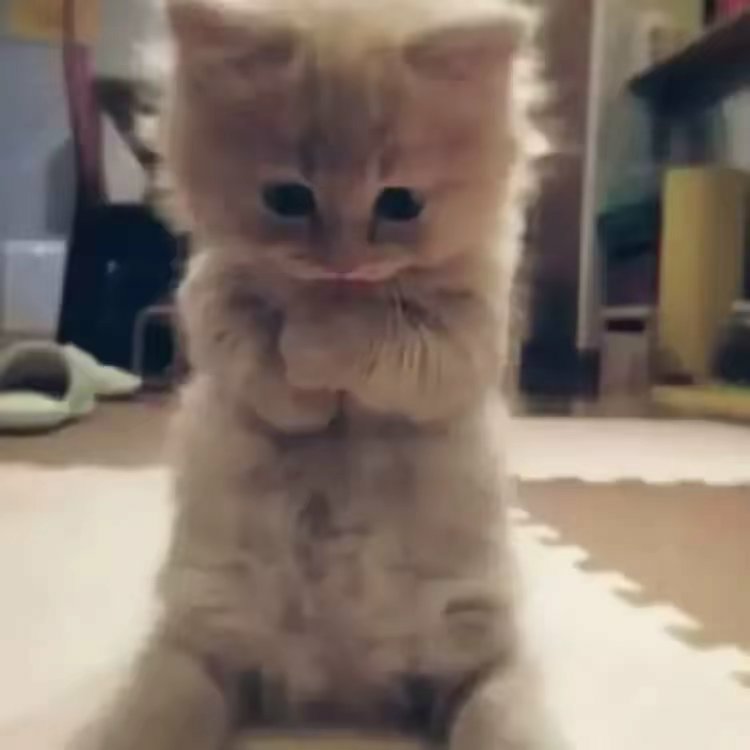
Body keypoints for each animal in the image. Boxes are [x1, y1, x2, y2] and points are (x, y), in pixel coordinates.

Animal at [80, 1, 560, 749]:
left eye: (400, 204)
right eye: (287, 198)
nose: (342, 262)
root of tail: (343, 687)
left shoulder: (466, 338)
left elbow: (376, 343)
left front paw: (317, 338)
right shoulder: (209, 300)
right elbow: (266, 371)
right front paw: (304, 371)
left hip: (479, 660)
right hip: (197, 645)